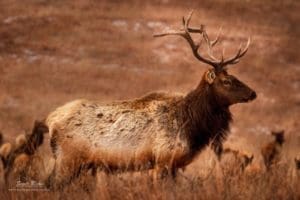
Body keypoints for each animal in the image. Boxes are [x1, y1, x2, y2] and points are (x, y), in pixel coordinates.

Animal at [44, 10, 255, 189]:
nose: (253, 93)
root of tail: (51, 120)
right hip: (68, 159)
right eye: (227, 81)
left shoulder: (173, 165)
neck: (192, 126)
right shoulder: (163, 159)